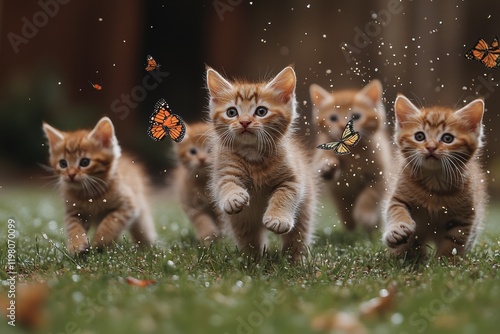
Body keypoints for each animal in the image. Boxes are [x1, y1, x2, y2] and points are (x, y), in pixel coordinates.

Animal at [42, 116, 156, 254]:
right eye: (63, 163)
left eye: (85, 162)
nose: (71, 174)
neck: (90, 194)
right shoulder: (73, 212)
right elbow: (73, 228)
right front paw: (76, 246)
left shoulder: (128, 206)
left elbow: (110, 222)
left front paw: (99, 242)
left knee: (143, 229)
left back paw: (147, 248)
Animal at [206, 64, 316, 258]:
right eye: (231, 112)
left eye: (261, 111)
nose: (244, 122)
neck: (253, 156)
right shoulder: (224, 171)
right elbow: (226, 184)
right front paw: (233, 197)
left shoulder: (293, 180)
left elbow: (285, 195)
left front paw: (278, 218)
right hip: (241, 223)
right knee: (250, 241)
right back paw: (253, 260)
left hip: (304, 212)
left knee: (298, 239)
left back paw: (295, 261)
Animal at [310, 79, 392, 231]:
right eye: (333, 118)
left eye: (356, 116)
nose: (342, 125)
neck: (354, 153)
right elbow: (324, 166)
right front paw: (328, 165)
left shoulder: (381, 176)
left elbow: (371, 194)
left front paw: (365, 215)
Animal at [382, 95, 488, 260]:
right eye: (419, 136)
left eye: (447, 138)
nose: (431, 147)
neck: (434, 183)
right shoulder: (399, 196)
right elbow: (396, 210)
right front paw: (396, 230)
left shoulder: (465, 215)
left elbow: (454, 242)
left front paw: (445, 262)